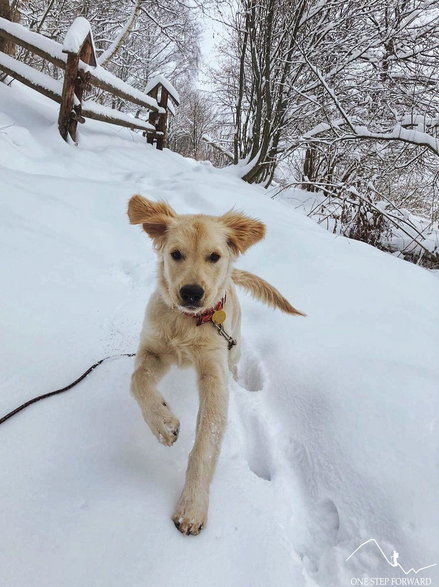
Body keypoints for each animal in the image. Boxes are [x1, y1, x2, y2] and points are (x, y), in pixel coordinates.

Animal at [129, 195, 304, 536]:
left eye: (214, 256)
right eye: (175, 254)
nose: (191, 293)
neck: (189, 323)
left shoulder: (214, 373)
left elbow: (205, 443)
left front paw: (192, 508)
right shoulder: (153, 350)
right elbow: (138, 380)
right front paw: (163, 423)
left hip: (233, 347)